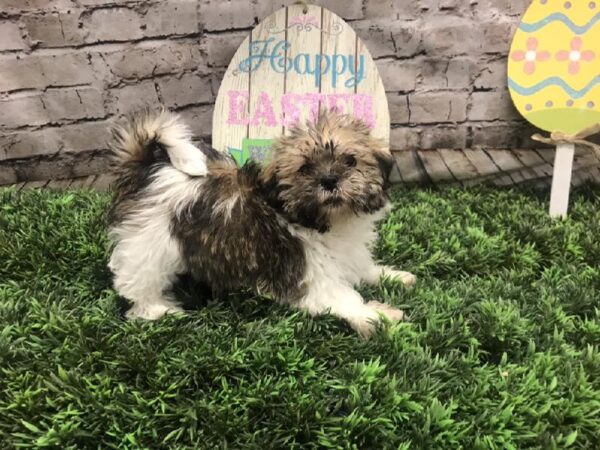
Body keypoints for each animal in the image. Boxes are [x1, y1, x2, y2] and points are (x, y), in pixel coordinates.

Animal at [108, 109, 414, 338]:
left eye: (350, 161)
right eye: (305, 168)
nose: (329, 180)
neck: (327, 222)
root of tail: (146, 172)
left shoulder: (347, 254)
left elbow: (364, 269)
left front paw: (394, 276)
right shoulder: (308, 274)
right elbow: (343, 298)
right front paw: (377, 315)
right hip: (149, 244)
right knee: (138, 283)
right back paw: (157, 309)